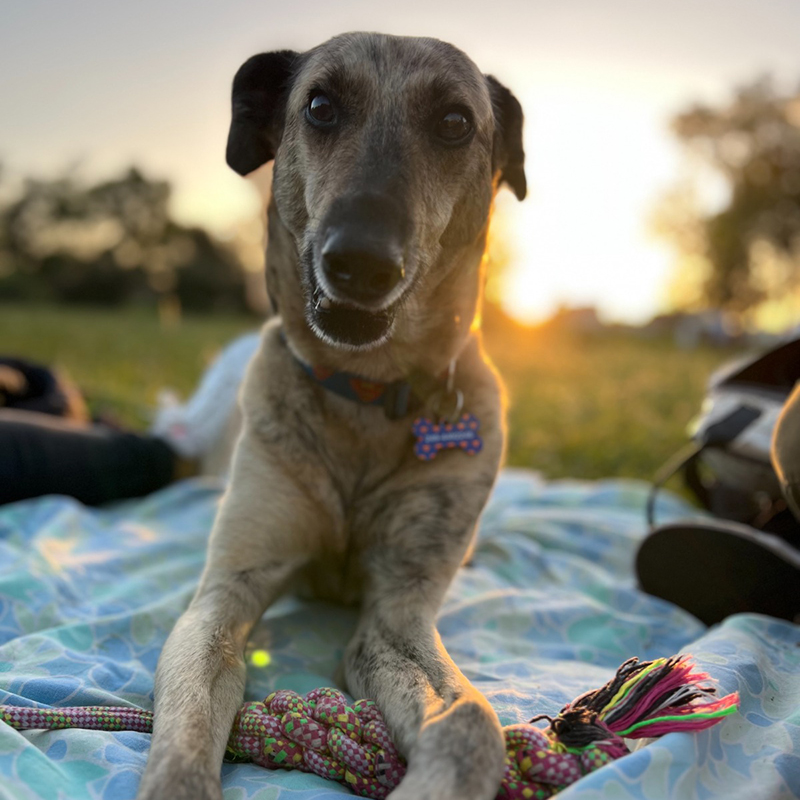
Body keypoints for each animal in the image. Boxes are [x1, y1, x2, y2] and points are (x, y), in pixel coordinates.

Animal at [138, 31, 524, 800]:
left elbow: (470, 720)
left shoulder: (399, 608)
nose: (360, 262)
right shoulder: (228, 588)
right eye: (319, 105)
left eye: (455, 122)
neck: (365, 390)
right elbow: (193, 702)